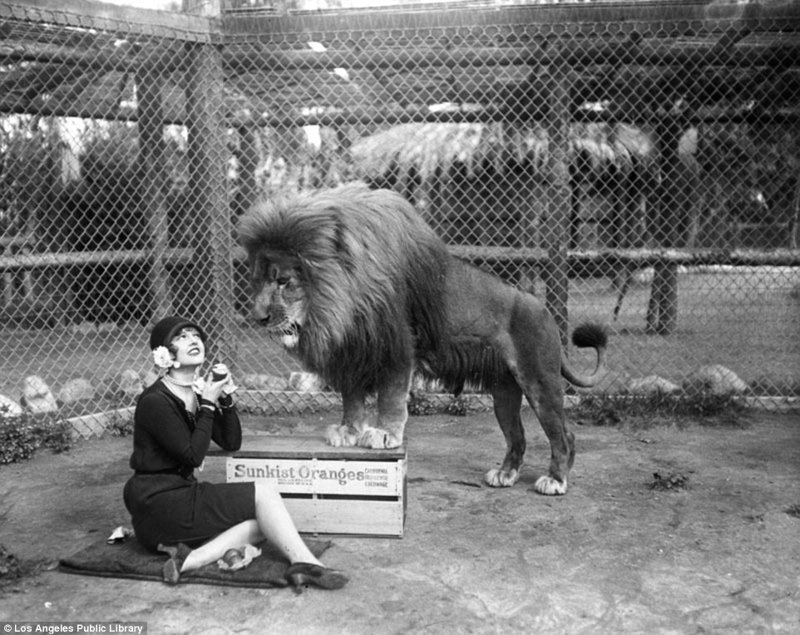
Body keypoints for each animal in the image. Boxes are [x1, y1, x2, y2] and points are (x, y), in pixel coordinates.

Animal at [238, 184, 608, 496]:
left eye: (283, 281)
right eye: (256, 280)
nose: (258, 317)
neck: (339, 306)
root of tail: (545, 312)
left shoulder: (397, 349)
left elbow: (390, 398)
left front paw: (383, 434)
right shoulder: (355, 352)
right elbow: (352, 399)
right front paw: (348, 431)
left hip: (539, 380)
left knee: (564, 435)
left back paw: (555, 480)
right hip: (504, 391)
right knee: (517, 435)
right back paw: (505, 474)